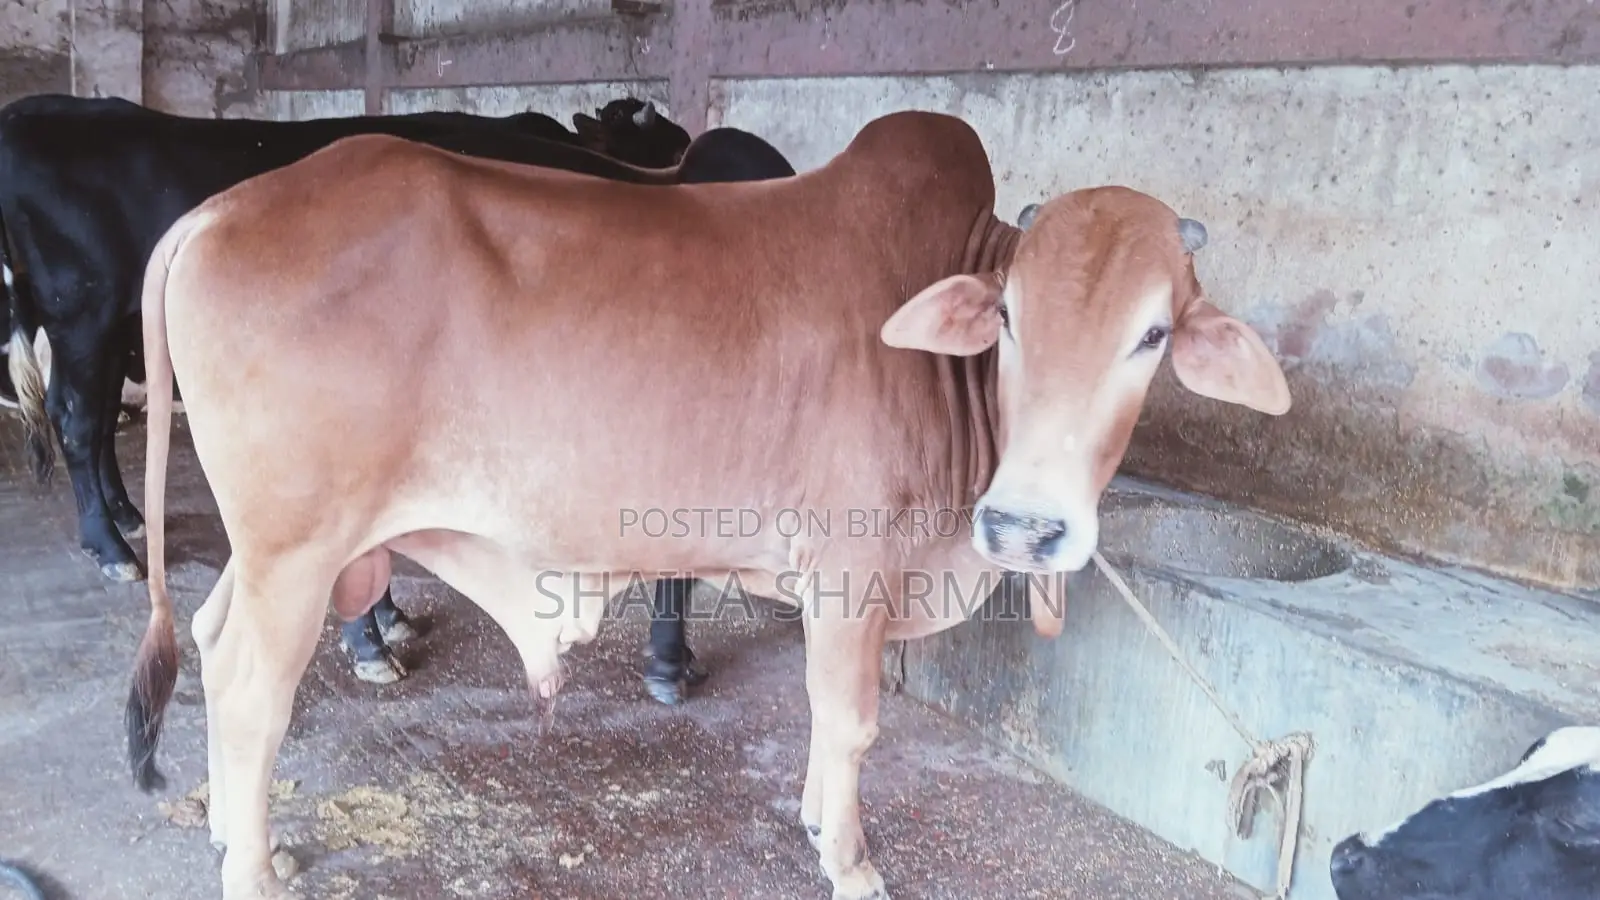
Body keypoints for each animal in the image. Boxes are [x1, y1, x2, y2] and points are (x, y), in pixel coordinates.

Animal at [0, 93, 771, 702]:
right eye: (658, 134)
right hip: (84, 319)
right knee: (80, 419)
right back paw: (111, 546)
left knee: (94, 420)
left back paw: (126, 519)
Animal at [122, 109, 1291, 899]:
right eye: (1007, 318)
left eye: (1152, 334)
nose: (1026, 526)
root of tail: (221, 208)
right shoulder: (853, 570)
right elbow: (851, 720)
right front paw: (851, 861)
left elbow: (826, 723)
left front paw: (818, 823)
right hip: (297, 552)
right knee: (250, 693)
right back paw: (253, 870)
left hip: (273, 551)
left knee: (215, 645)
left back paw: (238, 837)